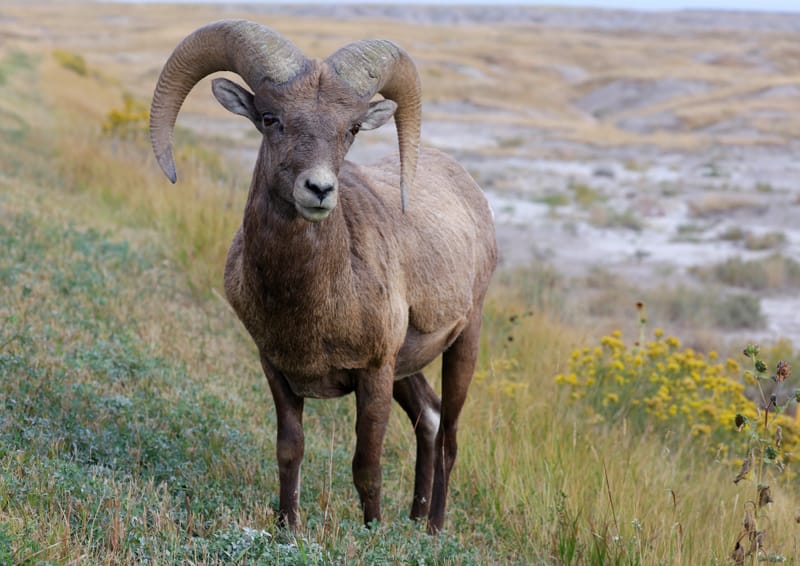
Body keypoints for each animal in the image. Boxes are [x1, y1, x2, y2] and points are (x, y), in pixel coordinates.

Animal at [150, 20, 496, 536]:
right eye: (270, 118)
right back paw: (414, 520)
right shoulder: (277, 369)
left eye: (350, 129)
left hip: (463, 341)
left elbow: (366, 466)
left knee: (449, 435)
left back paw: (433, 530)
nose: (318, 189)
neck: (310, 300)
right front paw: (288, 527)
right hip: (407, 368)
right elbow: (290, 450)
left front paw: (373, 533)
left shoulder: (373, 373)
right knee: (429, 420)